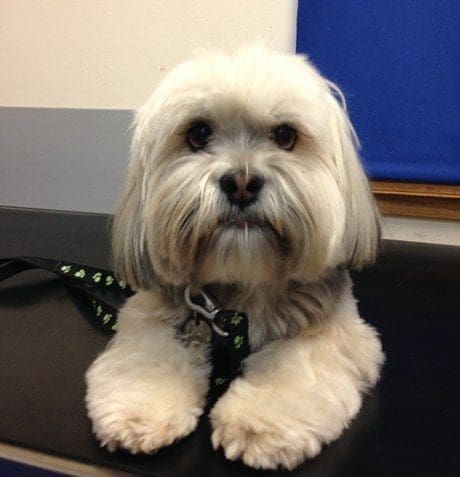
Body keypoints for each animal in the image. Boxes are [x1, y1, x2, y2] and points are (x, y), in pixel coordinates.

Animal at [85, 45, 384, 470]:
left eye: (285, 135)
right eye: (198, 133)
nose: (241, 183)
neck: (244, 284)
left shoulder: (336, 328)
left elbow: (297, 365)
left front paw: (259, 420)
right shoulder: (152, 314)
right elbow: (149, 357)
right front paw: (140, 407)